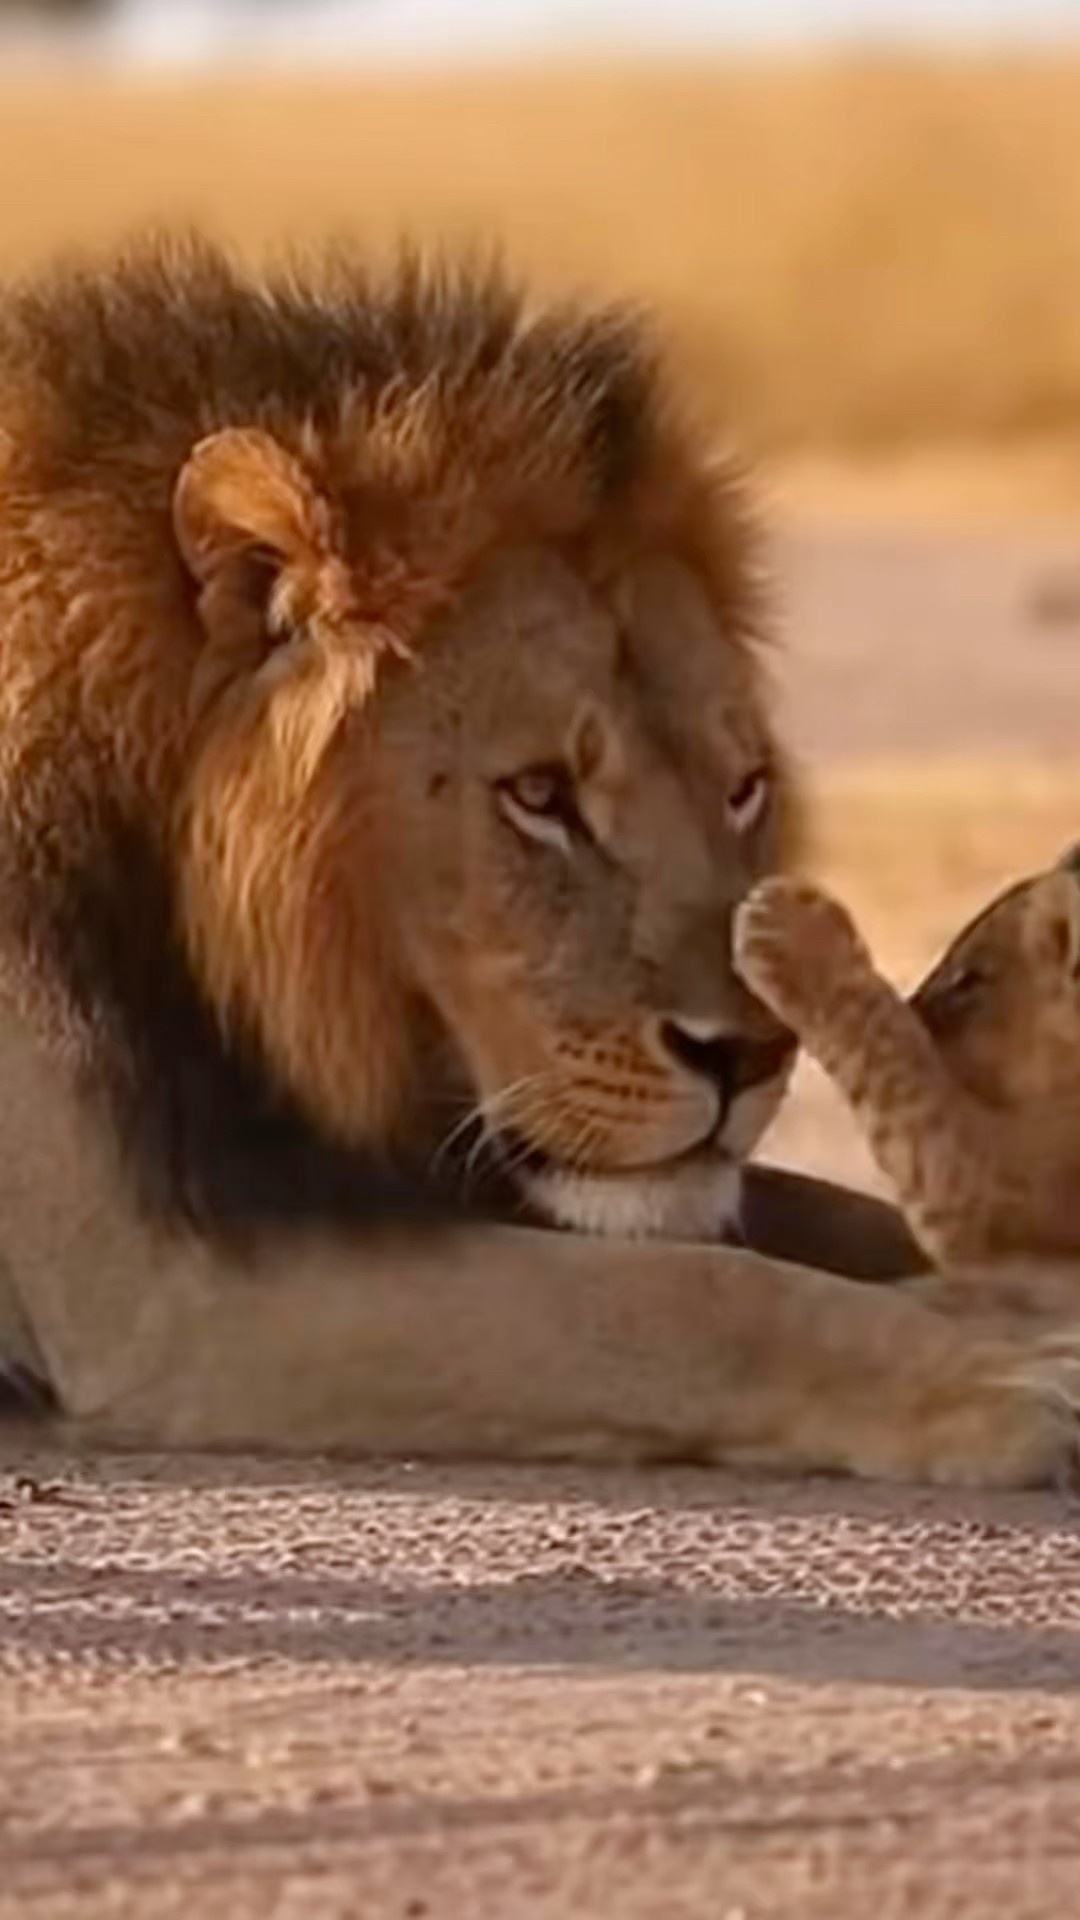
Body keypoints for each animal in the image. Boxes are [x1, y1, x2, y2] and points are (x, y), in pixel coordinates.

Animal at [0, 232, 1077, 1487]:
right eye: (540, 796)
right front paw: (996, 1375)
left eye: (743, 787)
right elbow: (683, 1298)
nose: (753, 1057)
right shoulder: (163, 1288)